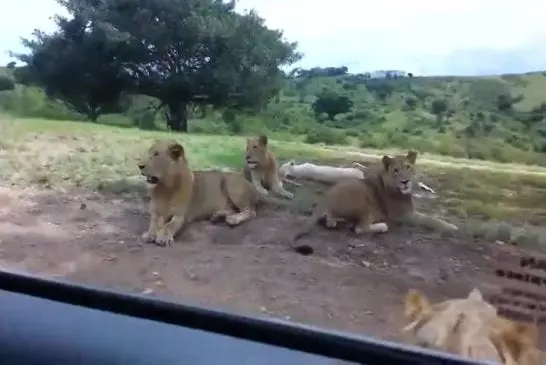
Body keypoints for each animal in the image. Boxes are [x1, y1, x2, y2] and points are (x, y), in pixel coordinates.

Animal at [292, 150, 456, 253]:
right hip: (365, 202)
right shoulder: (403, 215)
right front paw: (452, 227)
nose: (405, 182)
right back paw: (382, 226)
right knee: (359, 228)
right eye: (396, 170)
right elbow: (430, 219)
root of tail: (324, 200)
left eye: (408, 167)